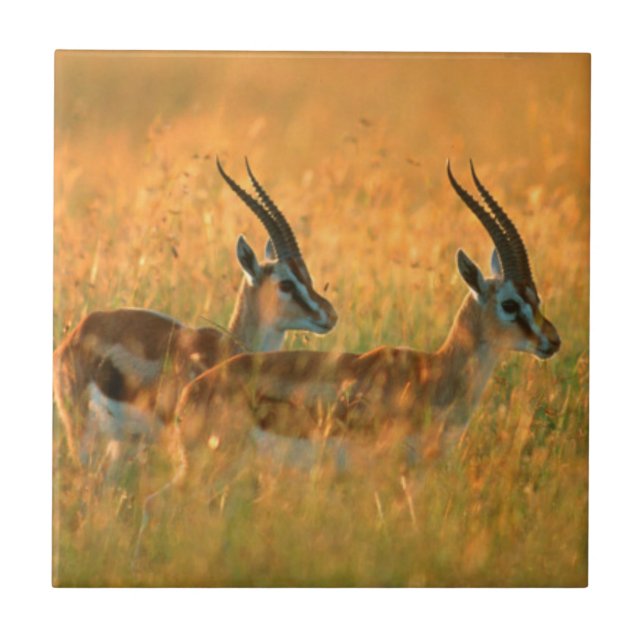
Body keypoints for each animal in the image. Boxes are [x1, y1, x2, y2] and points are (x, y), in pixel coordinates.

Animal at [53, 159, 338, 470]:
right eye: (286, 283)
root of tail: (77, 331)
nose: (330, 315)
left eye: (308, 276)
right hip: (83, 434)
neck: (227, 349)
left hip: (121, 443)